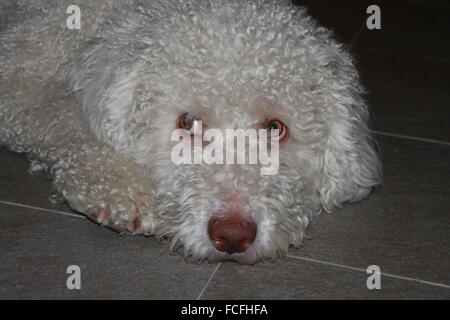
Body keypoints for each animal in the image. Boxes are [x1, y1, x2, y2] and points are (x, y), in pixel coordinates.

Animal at [0, 1, 382, 264]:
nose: (232, 235)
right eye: (188, 123)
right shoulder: (18, 79)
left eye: (276, 128)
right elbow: (60, 118)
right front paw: (119, 189)